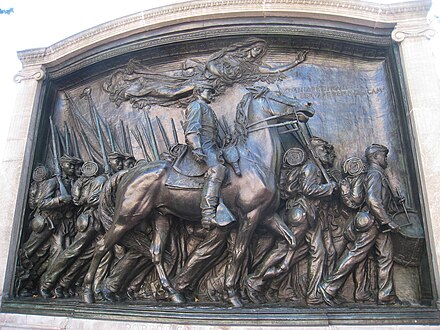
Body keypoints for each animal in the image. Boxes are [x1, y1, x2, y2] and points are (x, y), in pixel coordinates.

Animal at [82, 87, 314, 306]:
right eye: (278, 95)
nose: (308, 105)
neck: (256, 159)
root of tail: (129, 173)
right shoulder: (250, 216)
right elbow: (239, 253)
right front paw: (233, 294)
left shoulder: (267, 215)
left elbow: (292, 241)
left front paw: (272, 273)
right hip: (127, 216)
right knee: (102, 246)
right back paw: (89, 292)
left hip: (161, 217)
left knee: (155, 252)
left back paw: (173, 293)